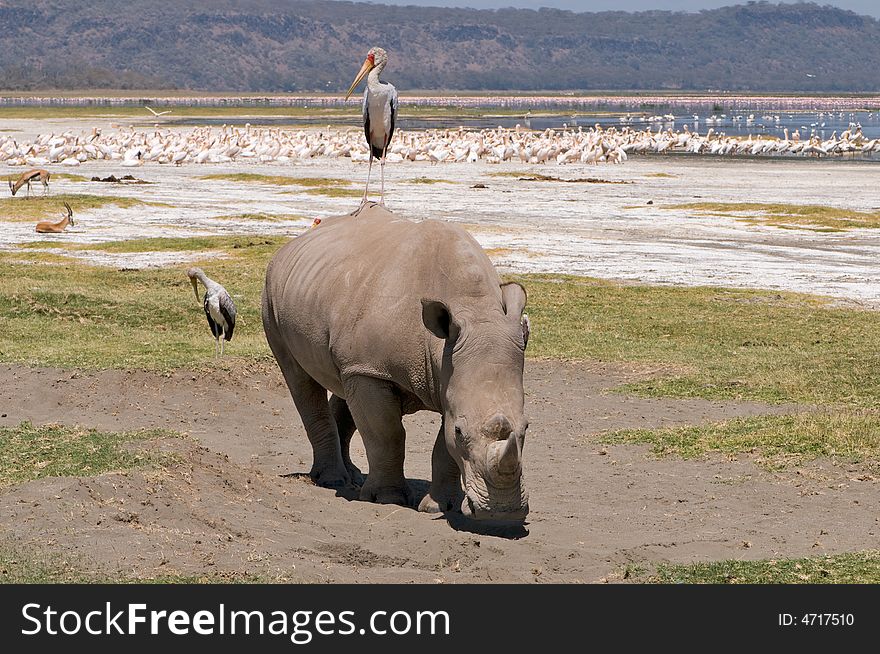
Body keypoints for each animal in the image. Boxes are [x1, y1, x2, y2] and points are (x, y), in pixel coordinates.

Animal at [258, 205, 524, 524]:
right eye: (461, 432)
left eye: (526, 428)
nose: (501, 512)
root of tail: (293, 243)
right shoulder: (373, 369)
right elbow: (387, 434)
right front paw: (388, 499)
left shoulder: (446, 378)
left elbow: (442, 447)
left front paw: (439, 507)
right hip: (272, 295)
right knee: (300, 379)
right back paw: (333, 480)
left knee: (343, 383)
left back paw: (351, 477)